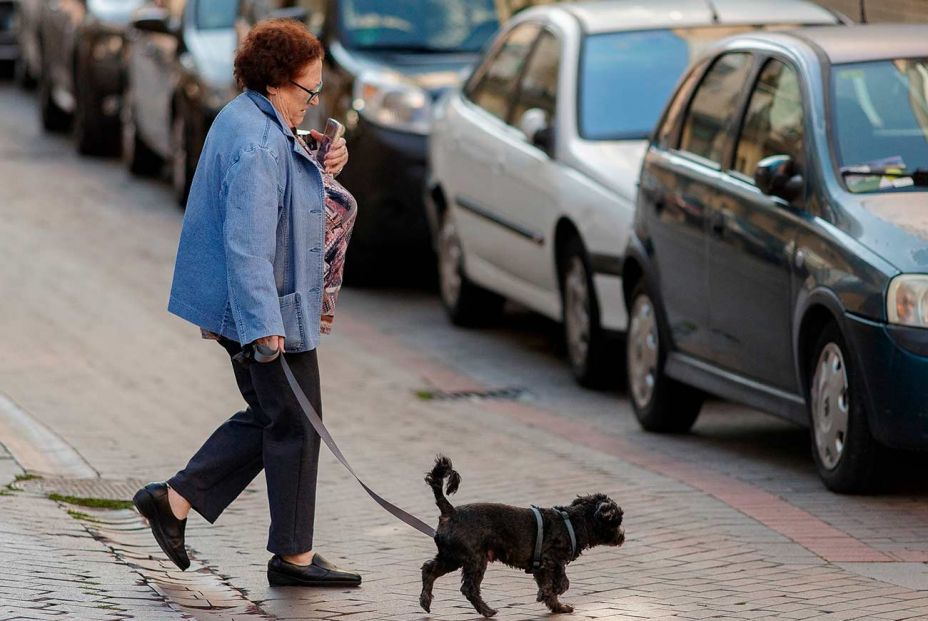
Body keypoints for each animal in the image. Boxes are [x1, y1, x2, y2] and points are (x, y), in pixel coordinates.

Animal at [418, 452, 624, 616]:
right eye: (618, 519)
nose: (623, 537)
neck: (573, 523)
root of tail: (450, 512)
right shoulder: (551, 560)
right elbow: (562, 583)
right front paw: (550, 594)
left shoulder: (543, 567)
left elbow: (550, 587)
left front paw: (557, 606)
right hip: (474, 559)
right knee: (468, 588)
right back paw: (487, 610)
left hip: (451, 556)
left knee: (429, 569)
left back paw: (425, 601)